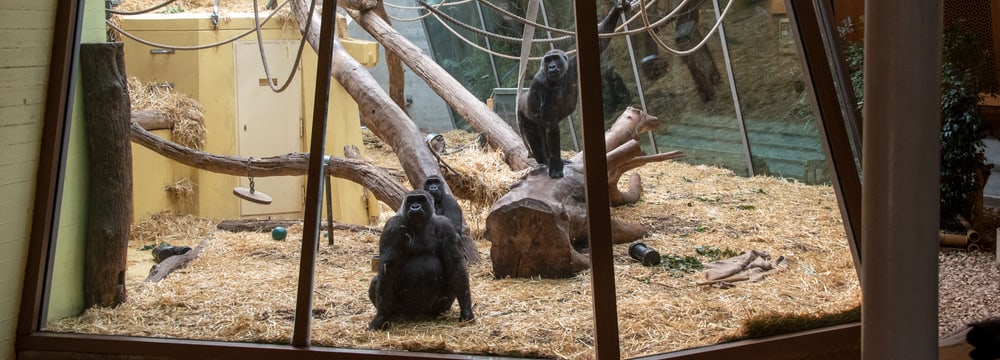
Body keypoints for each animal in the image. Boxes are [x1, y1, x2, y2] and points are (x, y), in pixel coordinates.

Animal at [370, 190, 474, 330]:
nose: (415, 207)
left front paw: (466, 311)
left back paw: (438, 314)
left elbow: (454, 264)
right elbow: (388, 267)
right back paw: (392, 316)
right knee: (377, 281)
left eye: (420, 200)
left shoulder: (446, 226)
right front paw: (381, 317)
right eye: (411, 201)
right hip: (403, 310)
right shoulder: (392, 227)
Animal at [516, 0, 632, 178]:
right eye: (548, 60)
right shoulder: (539, 83)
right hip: (522, 115)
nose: (551, 67)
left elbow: (600, 44)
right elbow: (552, 127)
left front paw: (617, 10)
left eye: (555, 58)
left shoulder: (573, 64)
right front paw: (556, 166)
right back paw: (545, 160)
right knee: (535, 138)